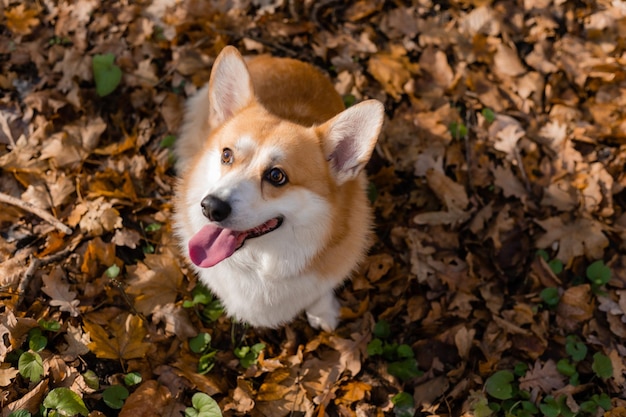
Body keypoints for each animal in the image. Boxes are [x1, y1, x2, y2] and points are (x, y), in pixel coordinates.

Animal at [173, 46, 382, 332]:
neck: (261, 263)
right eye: (227, 155)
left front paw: (323, 312)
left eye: (276, 176)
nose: (211, 207)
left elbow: (320, 292)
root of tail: (278, 58)